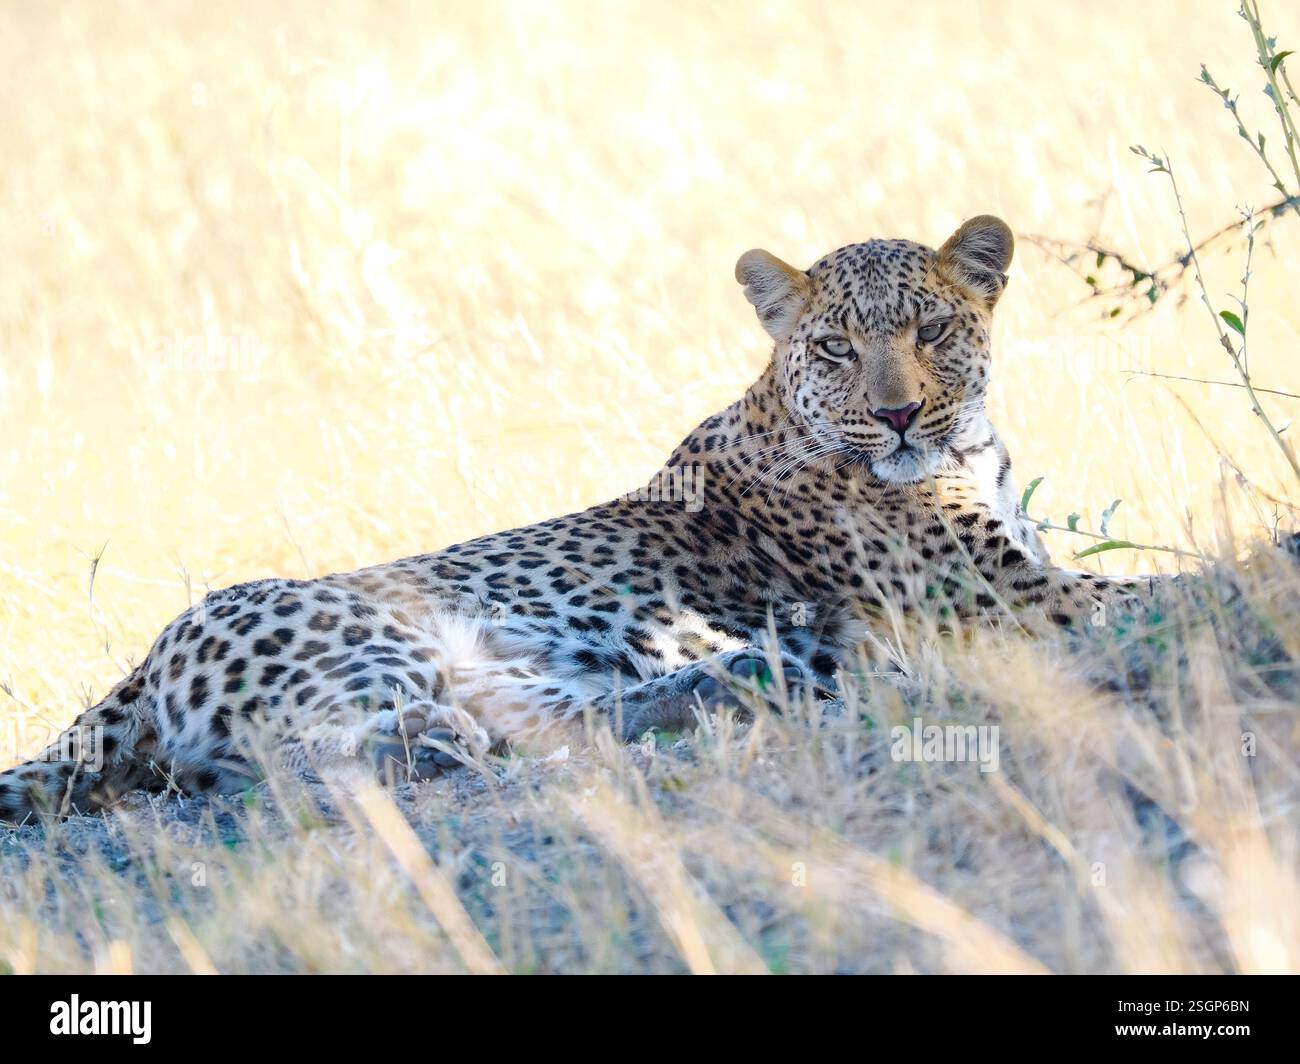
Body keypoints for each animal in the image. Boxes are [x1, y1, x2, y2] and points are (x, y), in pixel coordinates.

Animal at [0, 214, 1175, 824]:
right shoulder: (1009, 591)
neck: (967, 447)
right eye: (836, 346)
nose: (893, 414)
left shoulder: (1019, 568)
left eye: (931, 330)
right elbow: (1151, 585)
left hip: (499, 663)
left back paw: (731, 681)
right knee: (305, 760)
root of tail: (148, 655)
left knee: (564, 723)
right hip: (368, 638)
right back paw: (441, 740)